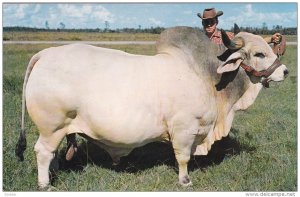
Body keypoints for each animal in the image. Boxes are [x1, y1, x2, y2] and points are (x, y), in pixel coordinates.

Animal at [16, 26, 288, 188]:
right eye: (259, 54)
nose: (285, 71)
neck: (207, 76)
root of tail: (46, 54)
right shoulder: (184, 129)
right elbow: (182, 157)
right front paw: (185, 181)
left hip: (60, 129)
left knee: (53, 153)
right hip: (52, 126)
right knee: (43, 152)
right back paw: (45, 184)